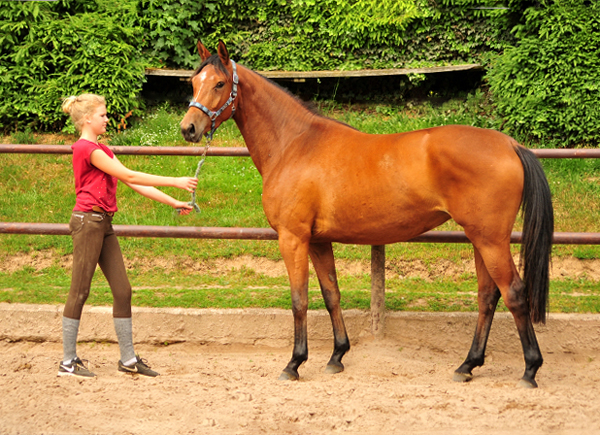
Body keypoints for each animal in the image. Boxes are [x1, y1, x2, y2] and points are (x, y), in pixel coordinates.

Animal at [179, 40, 552, 388]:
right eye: (193, 81)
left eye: (219, 83)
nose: (188, 128)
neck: (295, 145)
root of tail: (510, 145)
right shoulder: (318, 241)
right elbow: (331, 295)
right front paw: (337, 356)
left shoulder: (292, 238)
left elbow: (299, 300)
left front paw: (294, 363)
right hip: (480, 239)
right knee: (488, 296)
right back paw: (467, 365)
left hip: (490, 240)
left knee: (514, 293)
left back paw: (530, 369)